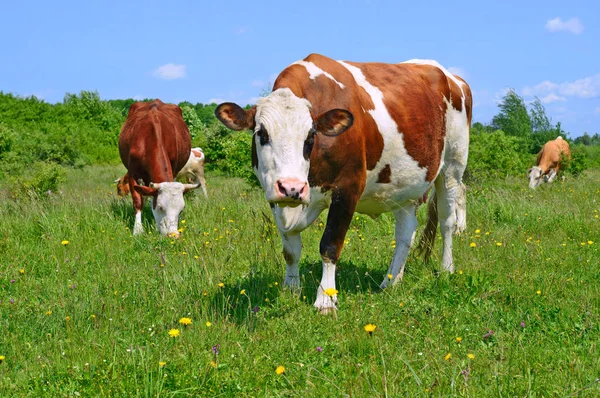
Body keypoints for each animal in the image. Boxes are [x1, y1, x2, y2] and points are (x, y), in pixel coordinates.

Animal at [118, 100, 199, 236]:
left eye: (181, 209)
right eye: (161, 207)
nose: (173, 235)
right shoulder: (132, 172)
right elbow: (137, 201)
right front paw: (138, 230)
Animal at [213, 53, 472, 314]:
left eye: (311, 136)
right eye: (261, 134)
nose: (291, 187)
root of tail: (451, 76)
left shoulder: (348, 188)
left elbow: (330, 245)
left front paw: (326, 300)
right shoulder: (275, 197)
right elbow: (290, 250)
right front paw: (291, 290)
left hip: (453, 166)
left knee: (447, 220)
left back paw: (446, 269)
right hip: (404, 187)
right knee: (406, 232)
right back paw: (391, 281)